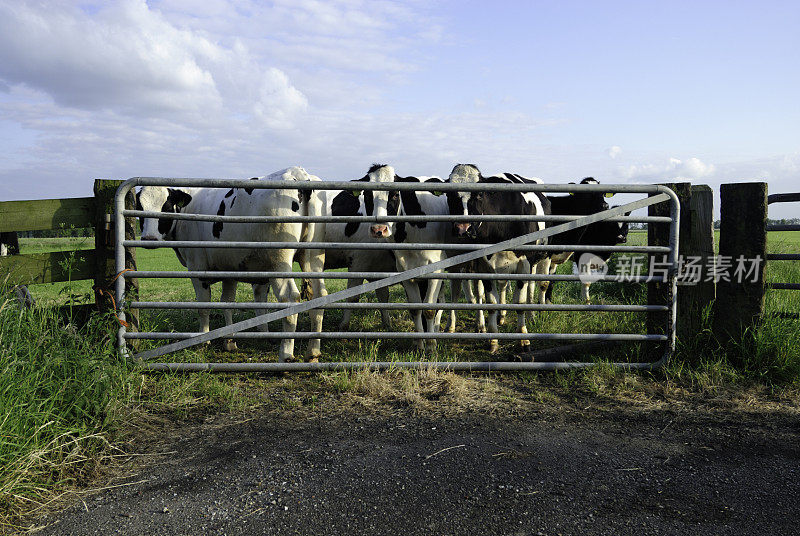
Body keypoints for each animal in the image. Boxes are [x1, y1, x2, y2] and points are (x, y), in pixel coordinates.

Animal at [138, 166, 324, 364]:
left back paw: (286, 353)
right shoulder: (230, 269)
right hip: (312, 259)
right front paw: (230, 340)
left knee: (289, 298)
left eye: (166, 207)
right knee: (319, 296)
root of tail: (296, 172)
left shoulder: (197, 267)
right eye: (140, 207)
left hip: (278, 262)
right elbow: (228, 303)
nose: (149, 239)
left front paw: (203, 340)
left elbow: (203, 306)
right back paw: (313, 351)